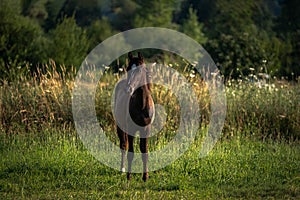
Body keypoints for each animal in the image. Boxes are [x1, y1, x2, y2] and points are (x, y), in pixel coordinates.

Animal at [113, 51, 154, 181]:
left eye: (139, 70)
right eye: (127, 68)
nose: (128, 89)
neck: (142, 105)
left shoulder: (146, 129)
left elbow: (144, 151)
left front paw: (145, 177)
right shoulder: (131, 129)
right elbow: (130, 152)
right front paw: (129, 176)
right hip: (120, 126)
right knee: (123, 145)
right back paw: (122, 170)